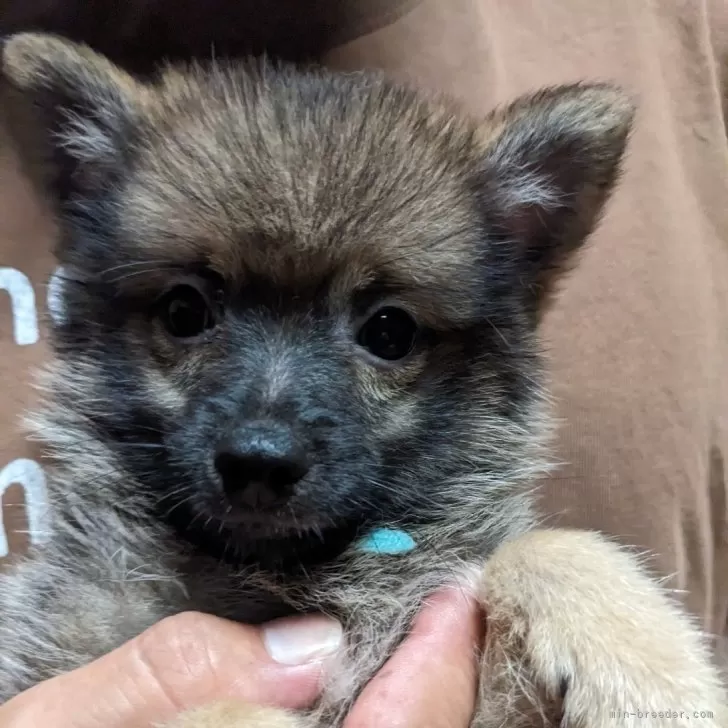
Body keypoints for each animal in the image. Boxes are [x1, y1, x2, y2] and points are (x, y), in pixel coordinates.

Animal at [0, 32, 724, 728]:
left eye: (389, 332)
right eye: (184, 312)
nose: (259, 461)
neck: (291, 567)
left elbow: (549, 545)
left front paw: (654, 676)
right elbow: (210, 711)